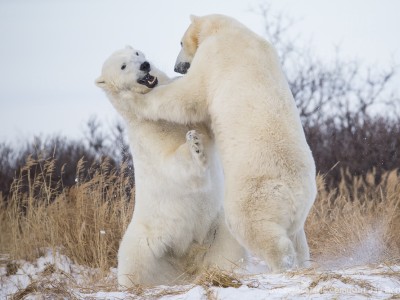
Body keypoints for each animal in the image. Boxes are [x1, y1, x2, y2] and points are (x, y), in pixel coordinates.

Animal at [94, 45, 244, 288]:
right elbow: (172, 165)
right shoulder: (147, 138)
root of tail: (186, 265)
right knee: (134, 264)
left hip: (217, 229)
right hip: (142, 245)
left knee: (228, 250)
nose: (145, 65)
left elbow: (204, 122)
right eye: (123, 66)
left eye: (137, 53)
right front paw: (195, 146)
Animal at [123, 14, 318, 272]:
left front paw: (136, 98)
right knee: (296, 234)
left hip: (255, 193)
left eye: (180, 42)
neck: (228, 30)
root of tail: (295, 191)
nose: (177, 67)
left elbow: (189, 95)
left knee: (252, 226)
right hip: (297, 208)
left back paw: (282, 263)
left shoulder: (213, 57)